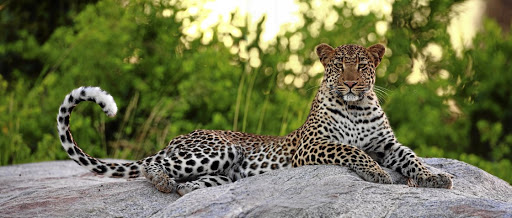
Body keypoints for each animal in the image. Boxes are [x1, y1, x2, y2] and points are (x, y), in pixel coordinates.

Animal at [57, 43, 452, 196]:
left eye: (363, 65)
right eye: (340, 66)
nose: (352, 83)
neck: (355, 108)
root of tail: (176, 138)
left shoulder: (388, 144)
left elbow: (411, 156)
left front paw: (435, 177)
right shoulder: (312, 146)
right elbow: (351, 151)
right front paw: (376, 172)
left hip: (223, 170)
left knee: (191, 180)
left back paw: (188, 189)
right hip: (216, 148)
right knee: (154, 165)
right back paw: (164, 182)